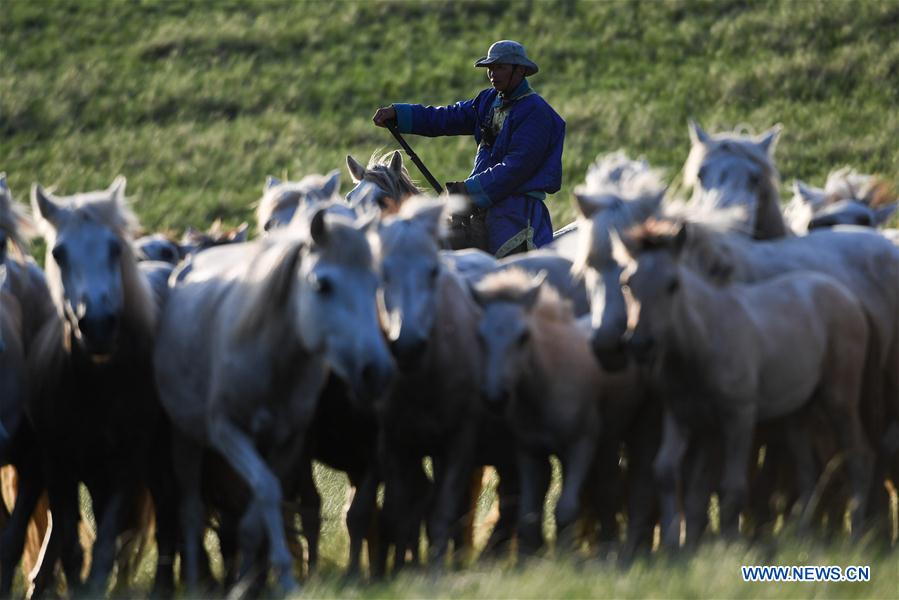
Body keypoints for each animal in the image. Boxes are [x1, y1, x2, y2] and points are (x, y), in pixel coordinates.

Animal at [26, 176, 177, 595]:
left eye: (114, 248)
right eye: (58, 253)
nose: (96, 326)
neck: (96, 387)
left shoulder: (126, 464)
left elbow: (108, 538)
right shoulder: (58, 464)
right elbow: (71, 544)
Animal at [154, 207, 393, 592]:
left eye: (376, 284)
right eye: (322, 284)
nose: (376, 371)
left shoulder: (292, 443)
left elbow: (263, 506)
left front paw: (256, 578)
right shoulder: (227, 432)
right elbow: (266, 492)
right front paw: (275, 575)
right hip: (186, 439)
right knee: (190, 510)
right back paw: (195, 580)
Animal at [614, 220, 873, 547]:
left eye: (673, 284)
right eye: (626, 282)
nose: (640, 344)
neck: (702, 343)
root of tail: (846, 295)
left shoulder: (738, 416)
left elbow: (732, 485)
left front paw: (728, 546)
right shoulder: (682, 415)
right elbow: (668, 473)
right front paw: (676, 545)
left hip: (839, 400)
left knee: (858, 456)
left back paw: (856, 534)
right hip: (797, 412)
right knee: (807, 471)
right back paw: (802, 537)